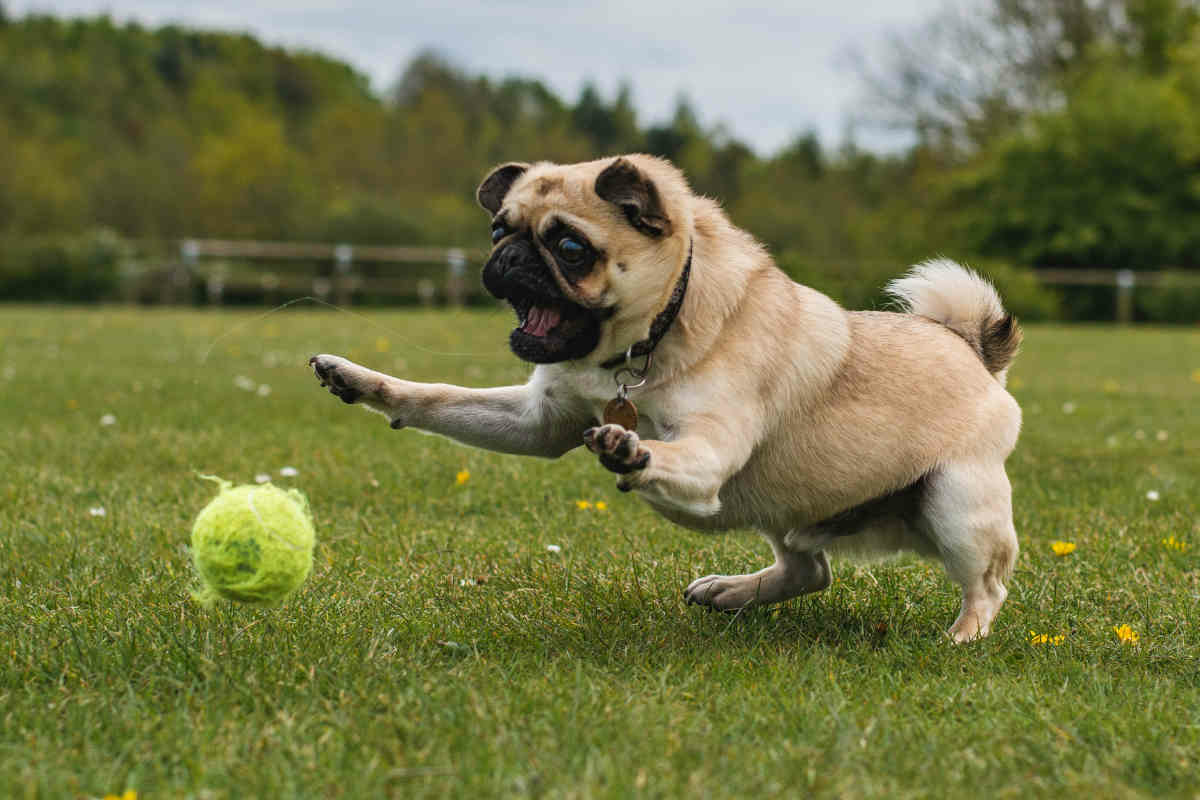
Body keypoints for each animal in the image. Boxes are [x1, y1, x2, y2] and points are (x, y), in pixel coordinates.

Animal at [312, 154, 1022, 642]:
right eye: (497, 231)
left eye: (570, 247)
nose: (509, 258)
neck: (644, 344)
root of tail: (973, 350)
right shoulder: (538, 421)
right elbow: (436, 397)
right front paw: (362, 381)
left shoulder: (707, 453)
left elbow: (666, 453)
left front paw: (631, 450)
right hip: (786, 509)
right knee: (809, 572)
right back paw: (731, 591)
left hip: (956, 503)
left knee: (987, 585)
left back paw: (962, 636)